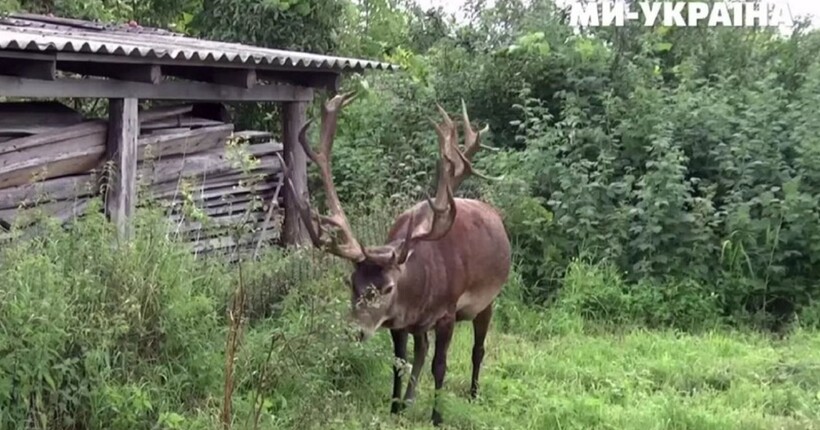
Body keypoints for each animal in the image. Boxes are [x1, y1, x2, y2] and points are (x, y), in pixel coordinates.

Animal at [285, 92, 511, 426]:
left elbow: (441, 365)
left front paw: (437, 417)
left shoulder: (447, 312)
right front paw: (394, 407)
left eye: (388, 287)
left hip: (488, 300)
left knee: (478, 348)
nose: (356, 330)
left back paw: (472, 393)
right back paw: (409, 400)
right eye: (351, 282)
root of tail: (495, 216)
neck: (419, 290)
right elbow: (399, 361)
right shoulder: (398, 320)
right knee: (422, 349)